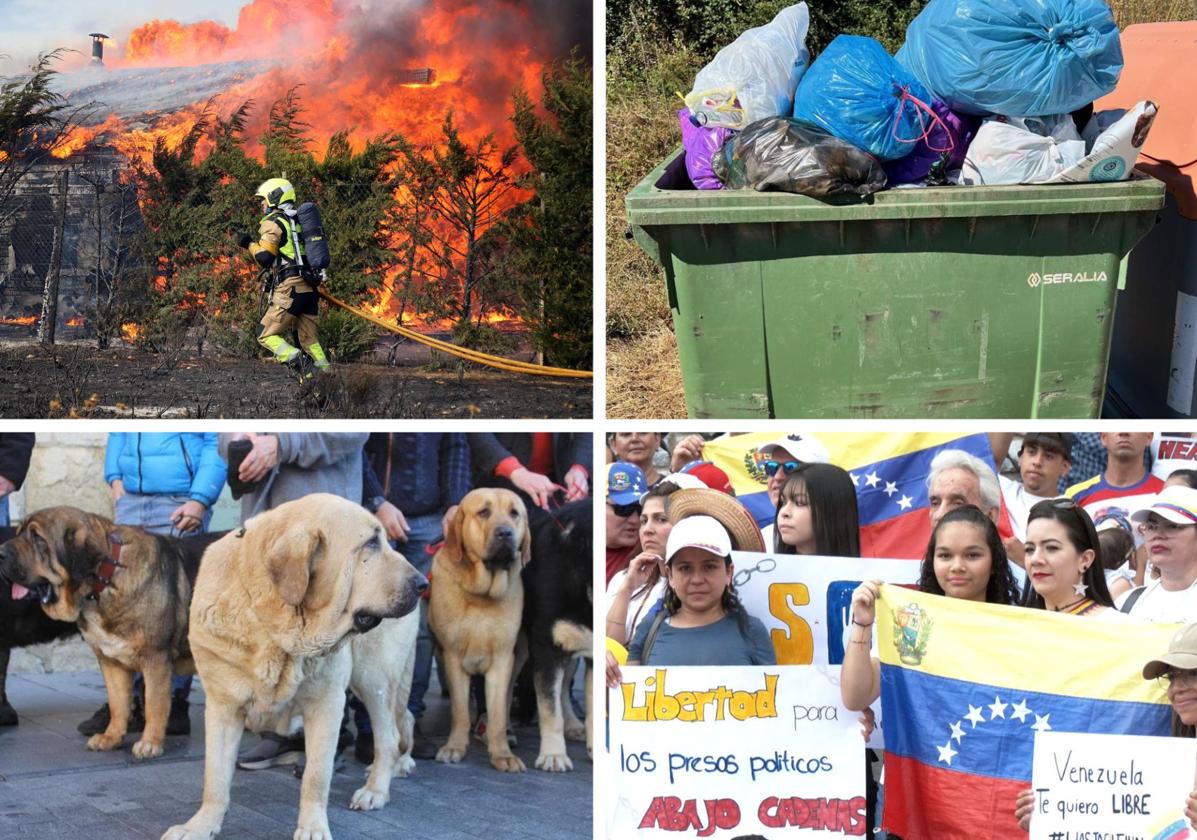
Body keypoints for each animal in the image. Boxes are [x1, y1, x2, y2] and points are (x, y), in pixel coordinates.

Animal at [0, 509, 223, 761]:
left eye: (37, 538)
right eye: (19, 533)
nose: (0, 553)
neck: (106, 577)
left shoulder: (155, 658)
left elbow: (154, 704)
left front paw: (149, 744)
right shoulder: (111, 661)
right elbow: (118, 704)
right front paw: (111, 737)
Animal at [161, 492, 426, 840]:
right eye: (370, 543)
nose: (422, 583)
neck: (276, 627)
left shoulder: (327, 704)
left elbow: (316, 776)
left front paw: (313, 827)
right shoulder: (223, 706)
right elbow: (215, 778)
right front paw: (200, 826)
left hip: (374, 678)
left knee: (389, 735)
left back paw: (376, 789)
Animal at [426, 488, 529, 775]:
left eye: (514, 513)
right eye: (483, 512)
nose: (505, 533)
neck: (482, 595)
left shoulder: (502, 660)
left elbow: (496, 712)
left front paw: (502, 754)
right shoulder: (453, 657)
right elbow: (460, 711)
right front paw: (454, 747)